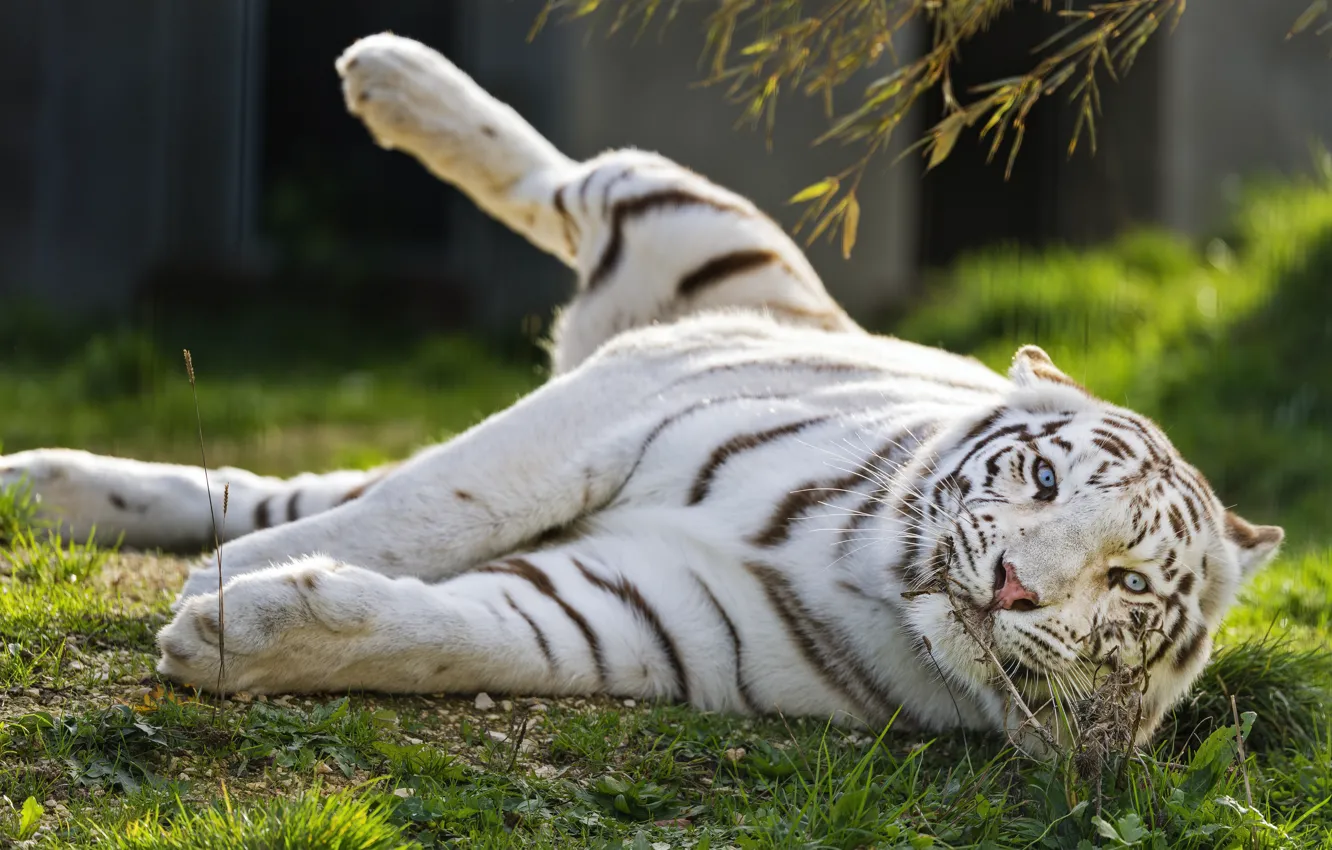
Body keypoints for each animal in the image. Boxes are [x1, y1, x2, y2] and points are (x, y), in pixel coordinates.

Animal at [0, 33, 1282, 751]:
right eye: (1043, 475)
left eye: (1127, 582)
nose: (1018, 584)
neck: (861, 567)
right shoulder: (622, 401)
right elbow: (431, 510)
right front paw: (233, 587)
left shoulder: (636, 612)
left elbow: (446, 626)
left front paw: (237, 624)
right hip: (703, 232)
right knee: (562, 181)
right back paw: (388, 75)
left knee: (281, 485)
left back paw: (39, 488)